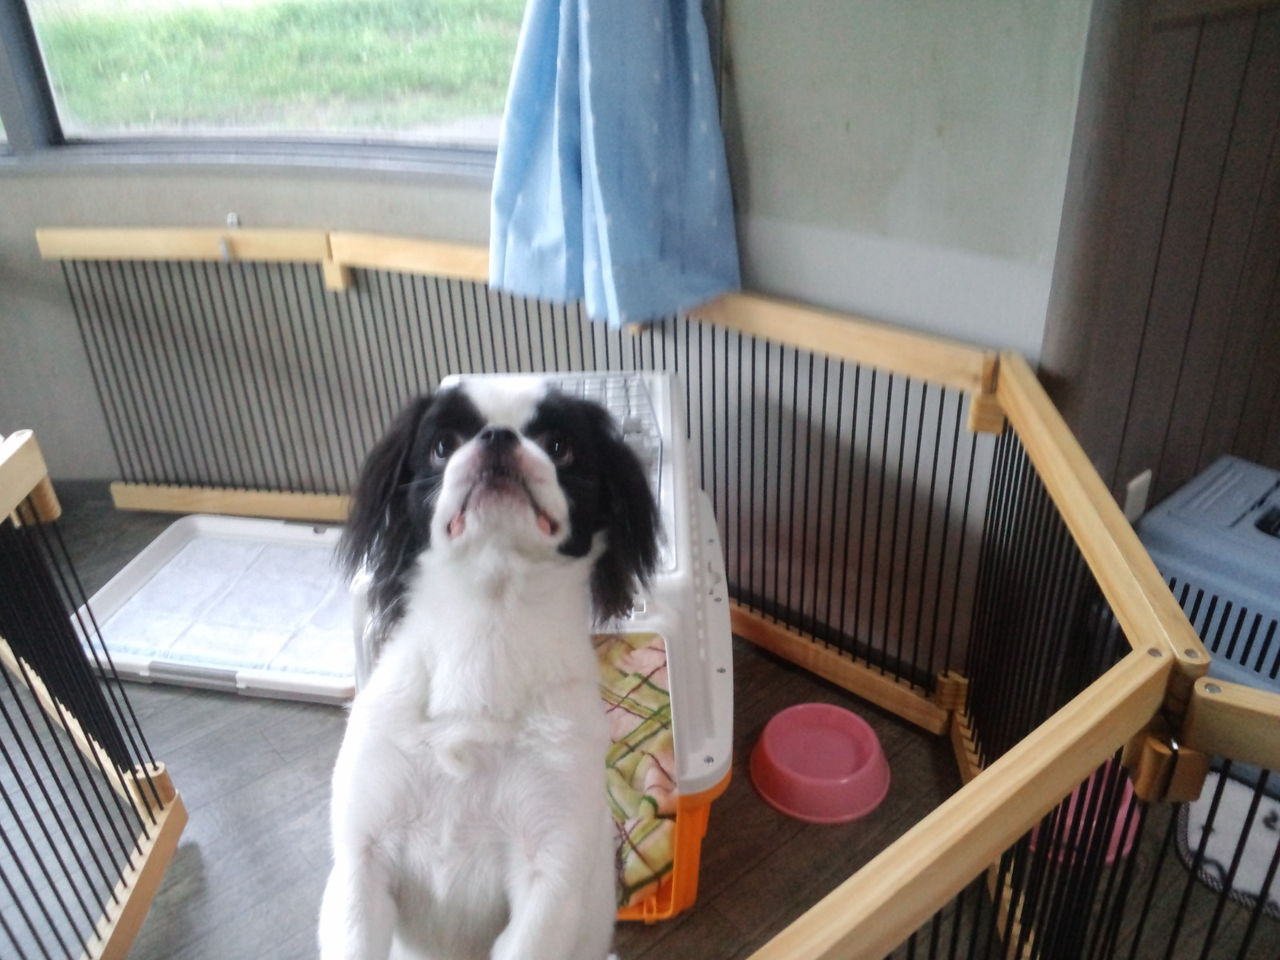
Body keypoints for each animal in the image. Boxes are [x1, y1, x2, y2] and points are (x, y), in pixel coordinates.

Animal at [319, 378, 660, 960]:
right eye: (442, 444)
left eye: (560, 446)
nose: (498, 437)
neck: (485, 636)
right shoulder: (361, 864)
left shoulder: (548, 875)